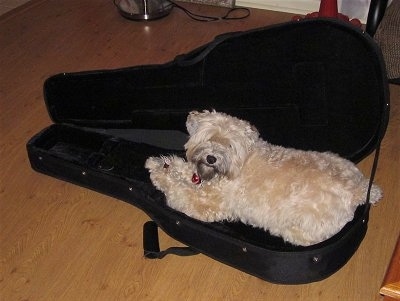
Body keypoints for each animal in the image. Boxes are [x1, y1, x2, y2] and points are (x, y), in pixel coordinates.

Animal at [145, 109, 382, 245]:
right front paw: (162, 163)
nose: (211, 158)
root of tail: (359, 190)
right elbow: (184, 170)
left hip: (302, 223)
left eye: (229, 146)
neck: (239, 162)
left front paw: (160, 175)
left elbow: (178, 193)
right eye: (209, 137)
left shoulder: (208, 206)